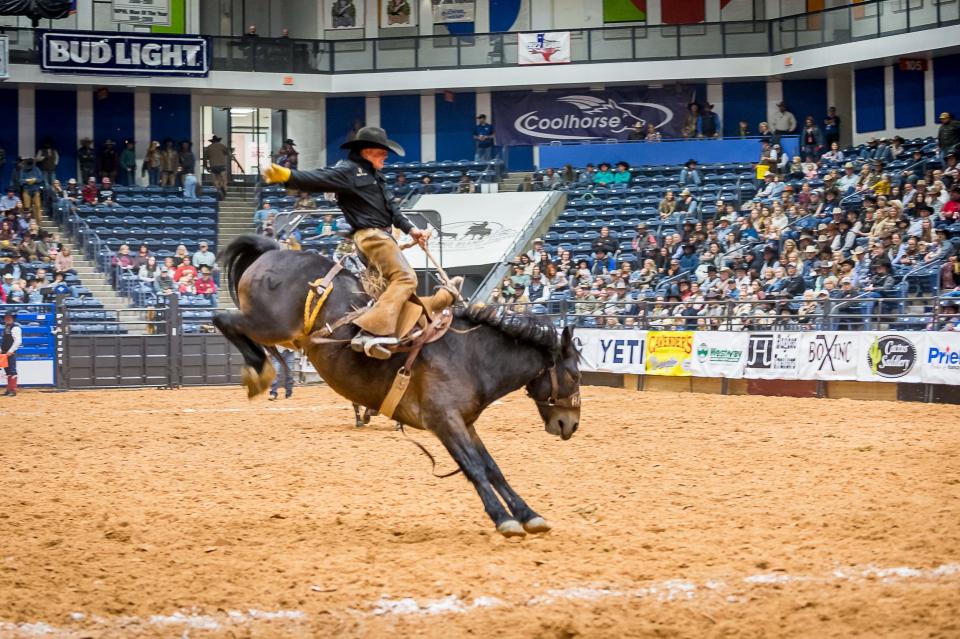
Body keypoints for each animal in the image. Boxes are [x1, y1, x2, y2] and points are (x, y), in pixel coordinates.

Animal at [214, 235, 580, 536]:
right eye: (575, 374)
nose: (571, 424)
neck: (470, 354)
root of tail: (273, 252)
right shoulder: (444, 420)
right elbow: (474, 467)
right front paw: (502, 519)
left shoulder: (465, 423)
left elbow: (492, 467)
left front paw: (527, 514)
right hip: (268, 323)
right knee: (224, 320)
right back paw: (259, 372)